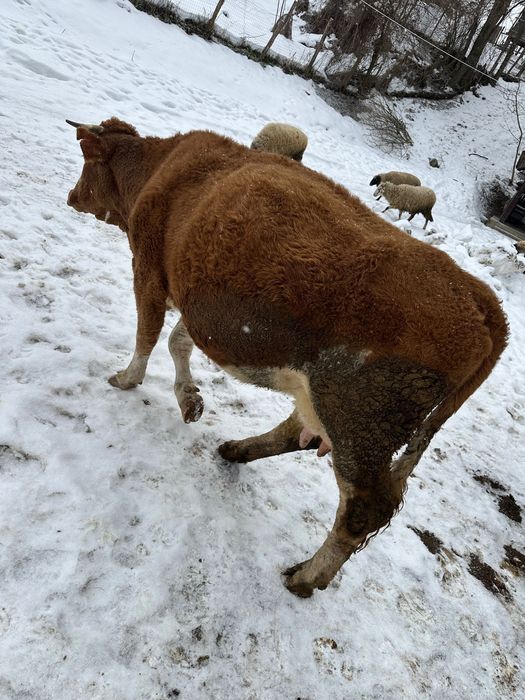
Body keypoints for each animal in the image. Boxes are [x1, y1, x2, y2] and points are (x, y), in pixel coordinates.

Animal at [66, 117, 508, 597]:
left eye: (87, 162)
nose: (71, 196)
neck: (161, 165)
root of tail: (483, 301)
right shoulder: (197, 302)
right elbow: (178, 343)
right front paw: (189, 399)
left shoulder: (148, 271)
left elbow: (147, 337)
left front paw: (126, 379)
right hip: (330, 402)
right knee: (297, 433)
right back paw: (237, 450)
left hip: (358, 421)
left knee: (364, 509)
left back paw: (307, 576)